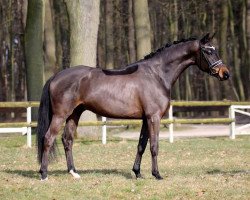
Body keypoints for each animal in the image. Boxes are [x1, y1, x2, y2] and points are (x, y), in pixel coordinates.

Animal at [36, 32, 229, 180]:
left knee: (67, 140)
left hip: (74, 114)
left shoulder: (145, 119)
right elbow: (154, 146)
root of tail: (56, 76)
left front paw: (137, 173)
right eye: (208, 51)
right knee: (48, 138)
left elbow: (141, 145)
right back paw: (44, 174)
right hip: (61, 115)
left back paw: (73, 172)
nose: (225, 73)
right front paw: (157, 174)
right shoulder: (154, 117)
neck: (157, 75)